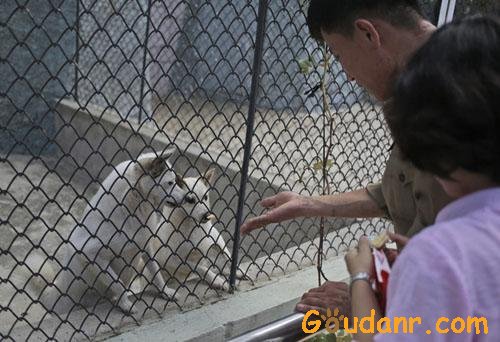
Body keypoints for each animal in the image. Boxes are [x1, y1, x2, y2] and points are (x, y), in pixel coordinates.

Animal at [25, 148, 186, 314]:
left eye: (175, 181)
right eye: (170, 183)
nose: (188, 197)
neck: (130, 207)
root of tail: (52, 291)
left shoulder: (145, 247)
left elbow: (156, 272)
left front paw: (165, 291)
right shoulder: (90, 254)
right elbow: (118, 284)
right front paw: (125, 304)